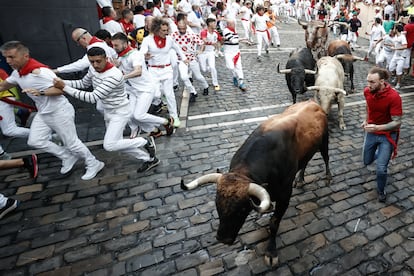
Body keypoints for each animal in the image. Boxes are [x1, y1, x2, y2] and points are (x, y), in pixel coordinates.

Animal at [181, 100, 330, 266]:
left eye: (242, 210)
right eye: (217, 205)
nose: (223, 239)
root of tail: (312, 102)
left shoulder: (285, 195)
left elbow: (274, 222)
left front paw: (271, 252)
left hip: (324, 142)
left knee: (326, 158)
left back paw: (328, 177)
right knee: (305, 162)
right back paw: (300, 179)